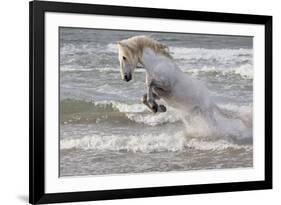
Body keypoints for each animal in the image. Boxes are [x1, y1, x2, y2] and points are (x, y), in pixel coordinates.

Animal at [117, 35, 248, 136]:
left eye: (124, 57)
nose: (125, 78)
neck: (157, 65)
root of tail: (210, 100)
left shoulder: (166, 85)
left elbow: (149, 84)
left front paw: (155, 106)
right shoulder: (159, 92)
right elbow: (144, 96)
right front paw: (159, 108)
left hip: (206, 114)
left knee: (215, 126)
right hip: (194, 114)